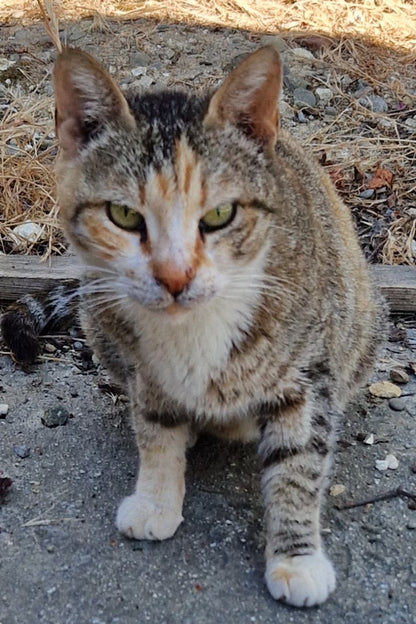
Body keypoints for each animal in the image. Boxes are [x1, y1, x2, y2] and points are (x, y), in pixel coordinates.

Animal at [0, 46, 384, 608]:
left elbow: (298, 461)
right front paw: (157, 499)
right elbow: (155, 427)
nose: (175, 276)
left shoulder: (310, 370)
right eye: (123, 216)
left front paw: (296, 557)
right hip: (99, 318)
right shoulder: (144, 365)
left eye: (220, 214)